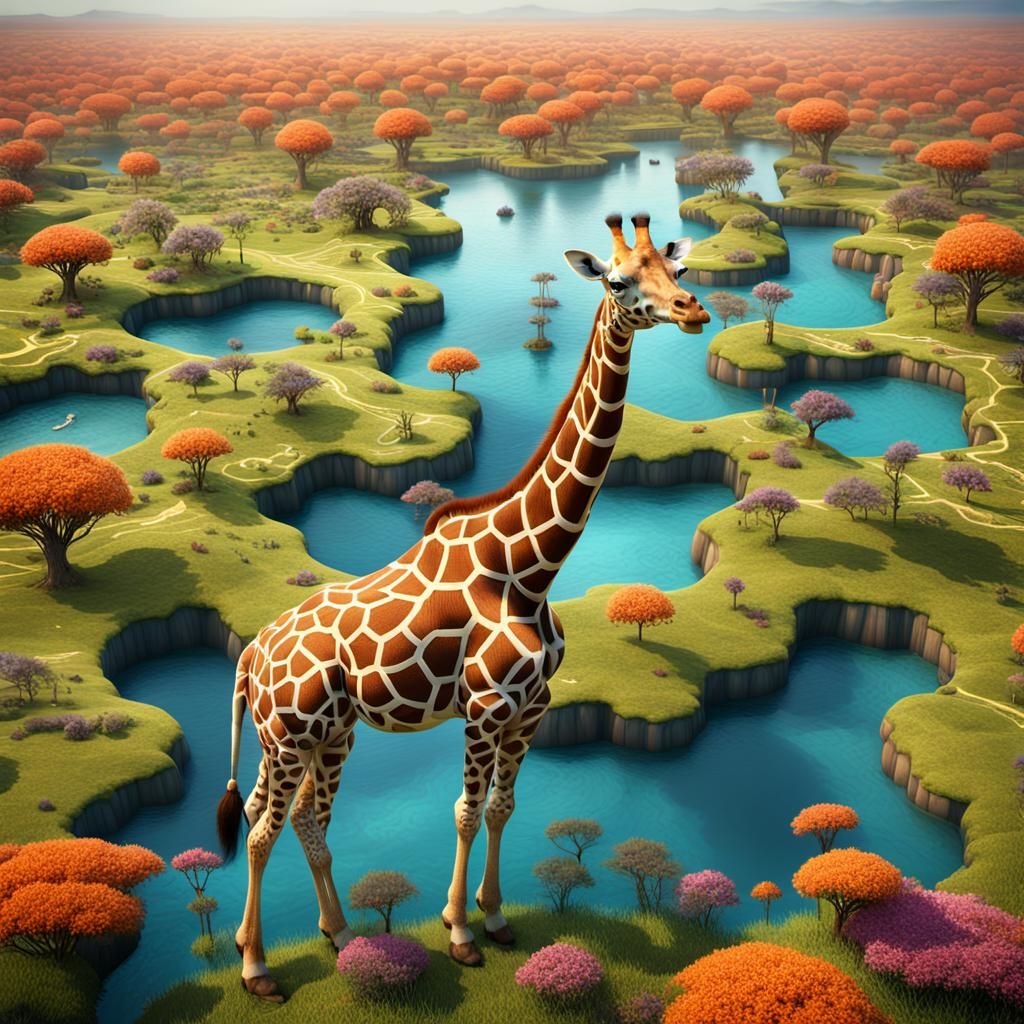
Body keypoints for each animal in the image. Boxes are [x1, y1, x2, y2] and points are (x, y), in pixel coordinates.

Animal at [216, 213, 710, 1001]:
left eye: (677, 271)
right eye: (616, 281)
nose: (693, 312)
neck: (527, 570)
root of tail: (251, 655)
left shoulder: (533, 709)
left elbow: (503, 807)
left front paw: (497, 918)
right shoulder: (482, 707)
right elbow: (466, 811)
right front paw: (458, 933)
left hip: (326, 733)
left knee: (299, 817)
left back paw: (338, 934)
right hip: (287, 733)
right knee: (263, 826)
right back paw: (258, 966)